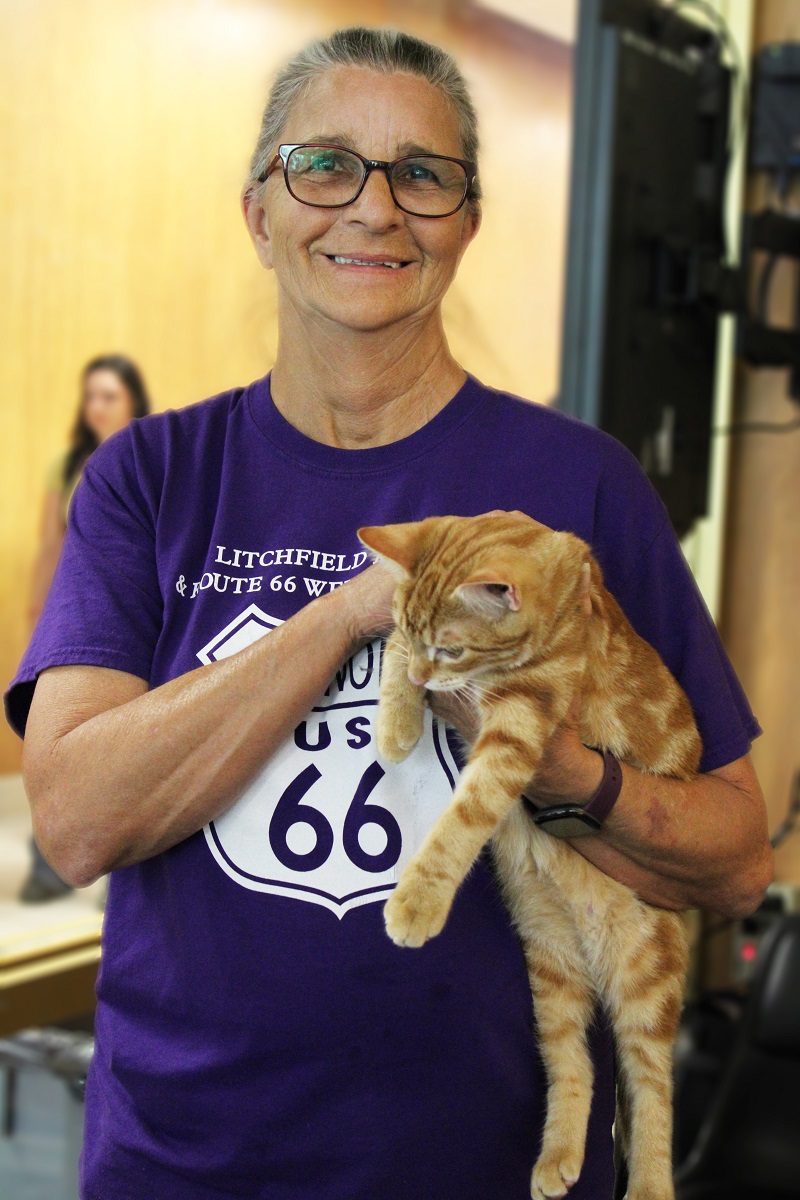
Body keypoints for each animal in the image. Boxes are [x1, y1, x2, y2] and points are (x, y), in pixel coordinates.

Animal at [357, 511, 700, 1200]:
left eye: (453, 648)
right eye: (418, 635)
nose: (424, 682)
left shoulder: (521, 719)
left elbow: (466, 815)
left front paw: (418, 902)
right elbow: (394, 653)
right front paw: (397, 720)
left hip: (646, 978)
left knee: (651, 1085)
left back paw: (650, 1182)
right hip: (552, 968)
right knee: (576, 1065)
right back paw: (557, 1155)